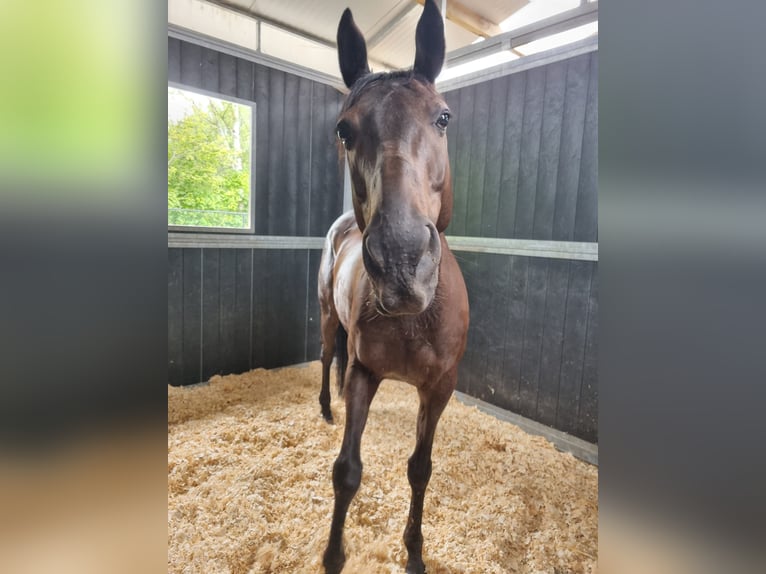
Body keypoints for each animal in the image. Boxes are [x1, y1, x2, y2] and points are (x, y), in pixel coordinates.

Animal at [317, 1, 469, 572]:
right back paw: (325, 406)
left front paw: (415, 554)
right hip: (327, 316)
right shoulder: (364, 372)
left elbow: (420, 468)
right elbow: (347, 470)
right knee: (326, 355)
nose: (402, 262)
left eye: (443, 118)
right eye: (344, 130)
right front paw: (333, 555)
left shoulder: (440, 387)